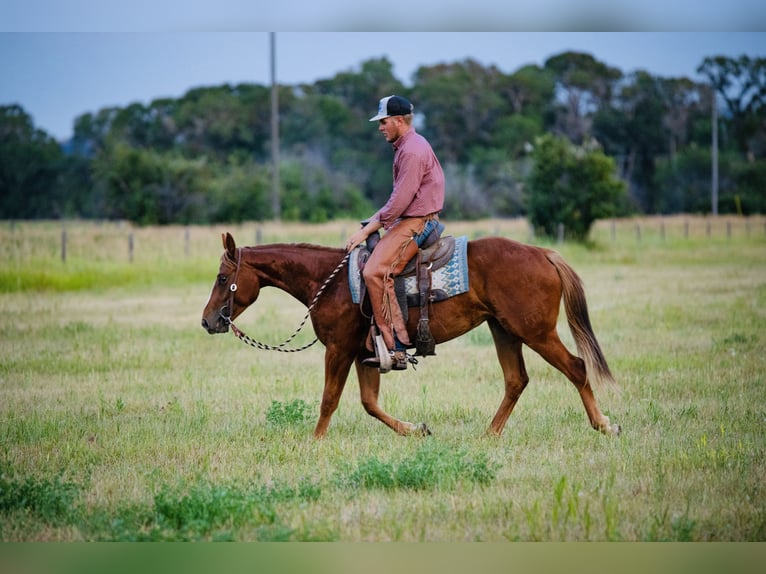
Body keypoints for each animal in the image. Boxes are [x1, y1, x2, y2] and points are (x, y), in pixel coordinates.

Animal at [201, 232, 621, 439]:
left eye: (222, 278)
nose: (207, 321)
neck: (328, 282)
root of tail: (543, 253)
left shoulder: (338, 349)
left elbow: (329, 400)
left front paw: (314, 442)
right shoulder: (364, 354)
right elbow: (369, 403)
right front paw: (416, 430)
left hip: (535, 332)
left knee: (577, 368)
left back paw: (603, 425)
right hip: (504, 330)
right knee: (516, 380)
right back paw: (489, 434)